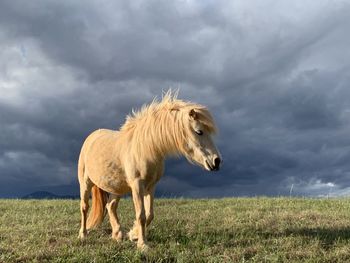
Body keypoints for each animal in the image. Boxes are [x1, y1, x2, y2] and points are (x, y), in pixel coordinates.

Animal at [78, 92, 221, 251]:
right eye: (199, 131)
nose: (216, 161)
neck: (146, 147)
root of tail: (91, 138)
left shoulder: (151, 186)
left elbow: (149, 214)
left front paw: (133, 235)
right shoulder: (137, 186)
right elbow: (141, 215)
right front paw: (142, 244)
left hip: (117, 187)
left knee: (111, 206)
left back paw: (117, 235)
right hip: (85, 183)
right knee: (84, 207)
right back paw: (83, 234)